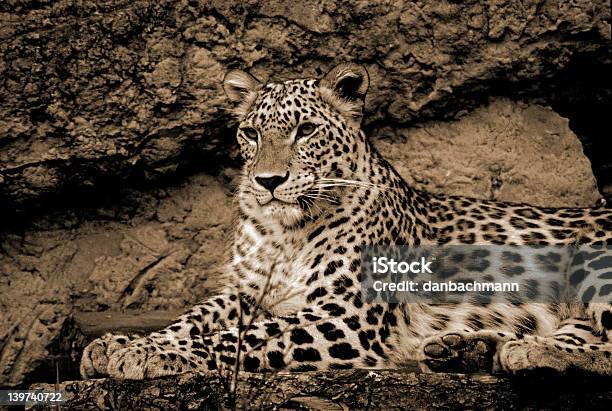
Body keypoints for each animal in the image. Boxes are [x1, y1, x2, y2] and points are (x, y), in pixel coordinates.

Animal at [80, 62, 612, 382]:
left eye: (306, 130)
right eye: (251, 133)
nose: (267, 181)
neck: (284, 235)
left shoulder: (345, 317)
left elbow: (238, 338)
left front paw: (145, 354)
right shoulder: (243, 293)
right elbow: (193, 319)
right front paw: (120, 344)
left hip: (594, 258)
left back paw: (521, 354)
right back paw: (467, 349)